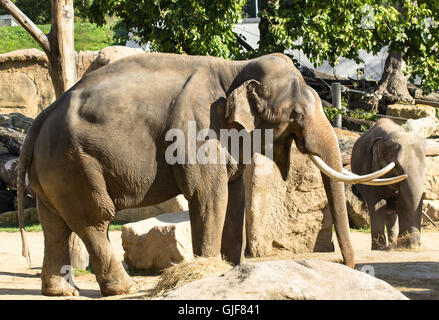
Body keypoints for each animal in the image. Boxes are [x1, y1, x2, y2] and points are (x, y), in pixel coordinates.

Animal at [15, 53, 404, 298]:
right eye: (295, 115)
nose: (347, 265)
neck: (235, 70)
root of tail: (39, 120)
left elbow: (236, 195)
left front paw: (231, 270)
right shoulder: (198, 128)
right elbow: (209, 195)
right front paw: (209, 272)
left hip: (53, 169)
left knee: (54, 225)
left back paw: (63, 291)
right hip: (76, 161)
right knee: (94, 220)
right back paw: (125, 289)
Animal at [350, 117, 426, 250]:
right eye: (397, 165)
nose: (418, 244)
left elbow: (402, 203)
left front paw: (406, 244)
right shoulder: (369, 168)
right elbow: (378, 204)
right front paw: (379, 248)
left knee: (392, 214)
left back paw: (393, 244)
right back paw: (388, 245)